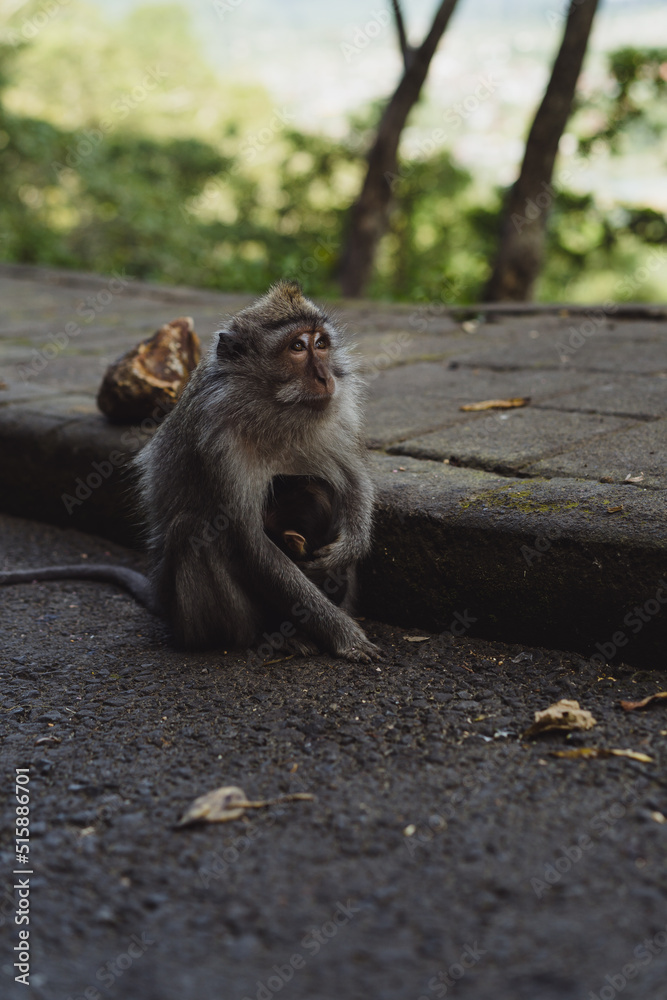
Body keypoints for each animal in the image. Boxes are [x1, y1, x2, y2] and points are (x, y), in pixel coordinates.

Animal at [1, 280, 380, 664]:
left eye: (321, 344)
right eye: (298, 347)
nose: (325, 377)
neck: (273, 410)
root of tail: (162, 600)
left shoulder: (339, 414)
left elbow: (354, 481)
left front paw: (352, 545)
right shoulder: (217, 444)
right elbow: (250, 542)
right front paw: (343, 634)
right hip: (189, 616)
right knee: (192, 530)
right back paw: (262, 636)